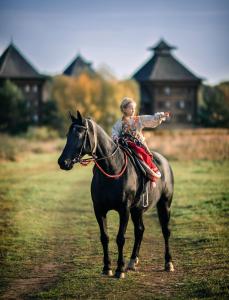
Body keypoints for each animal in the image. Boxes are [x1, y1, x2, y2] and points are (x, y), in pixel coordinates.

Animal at [58, 111, 174, 278]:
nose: (63, 162)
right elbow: (104, 237)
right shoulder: (99, 209)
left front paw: (120, 269)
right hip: (137, 210)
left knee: (166, 231)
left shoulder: (124, 210)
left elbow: (120, 238)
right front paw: (107, 267)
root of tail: (164, 162)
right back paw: (133, 261)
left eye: (80, 134)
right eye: (68, 134)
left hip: (164, 204)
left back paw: (168, 263)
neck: (113, 167)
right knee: (140, 230)